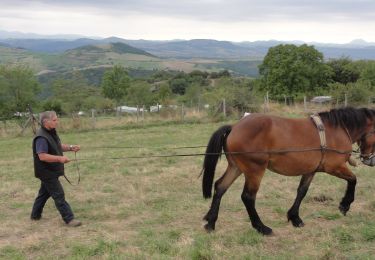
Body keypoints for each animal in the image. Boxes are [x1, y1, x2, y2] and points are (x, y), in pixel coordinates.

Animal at [201, 106, 375, 235]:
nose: (370, 160)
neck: (336, 130)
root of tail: (234, 127)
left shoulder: (310, 170)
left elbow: (302, 191)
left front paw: (295, 218)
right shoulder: (334, 167)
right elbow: (353, 179)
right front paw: (345, 205)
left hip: (236, 167)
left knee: (220, 187)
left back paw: (211, 222)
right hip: (254, 170)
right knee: (248, 197)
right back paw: (261, 227)